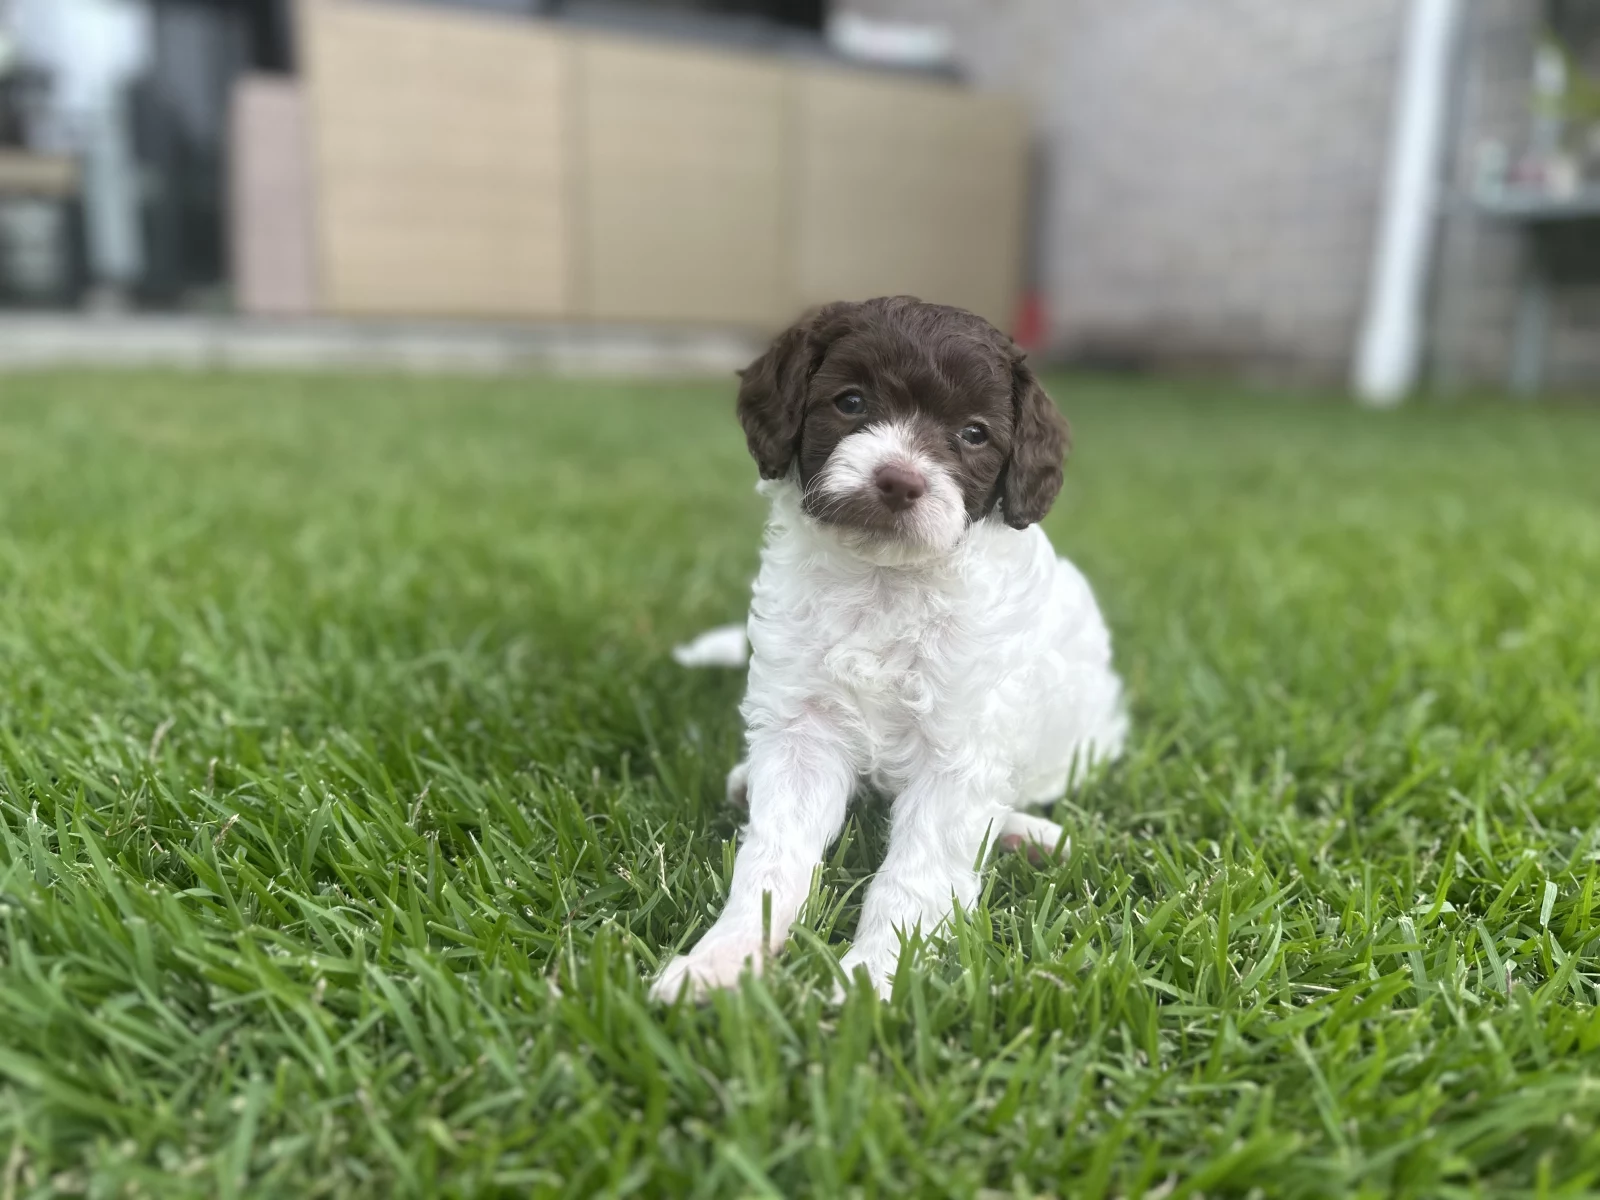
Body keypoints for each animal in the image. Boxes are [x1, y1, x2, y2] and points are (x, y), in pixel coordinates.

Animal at [652, 296, 1127, 1001]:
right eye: (850, 402)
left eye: (974, 434)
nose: (900, 481)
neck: (886, 579)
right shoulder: (802, 731)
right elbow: (773, 858)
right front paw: (722, 957)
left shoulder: (960, 750)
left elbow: (916, 874)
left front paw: (872, 983)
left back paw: (1031, 836)